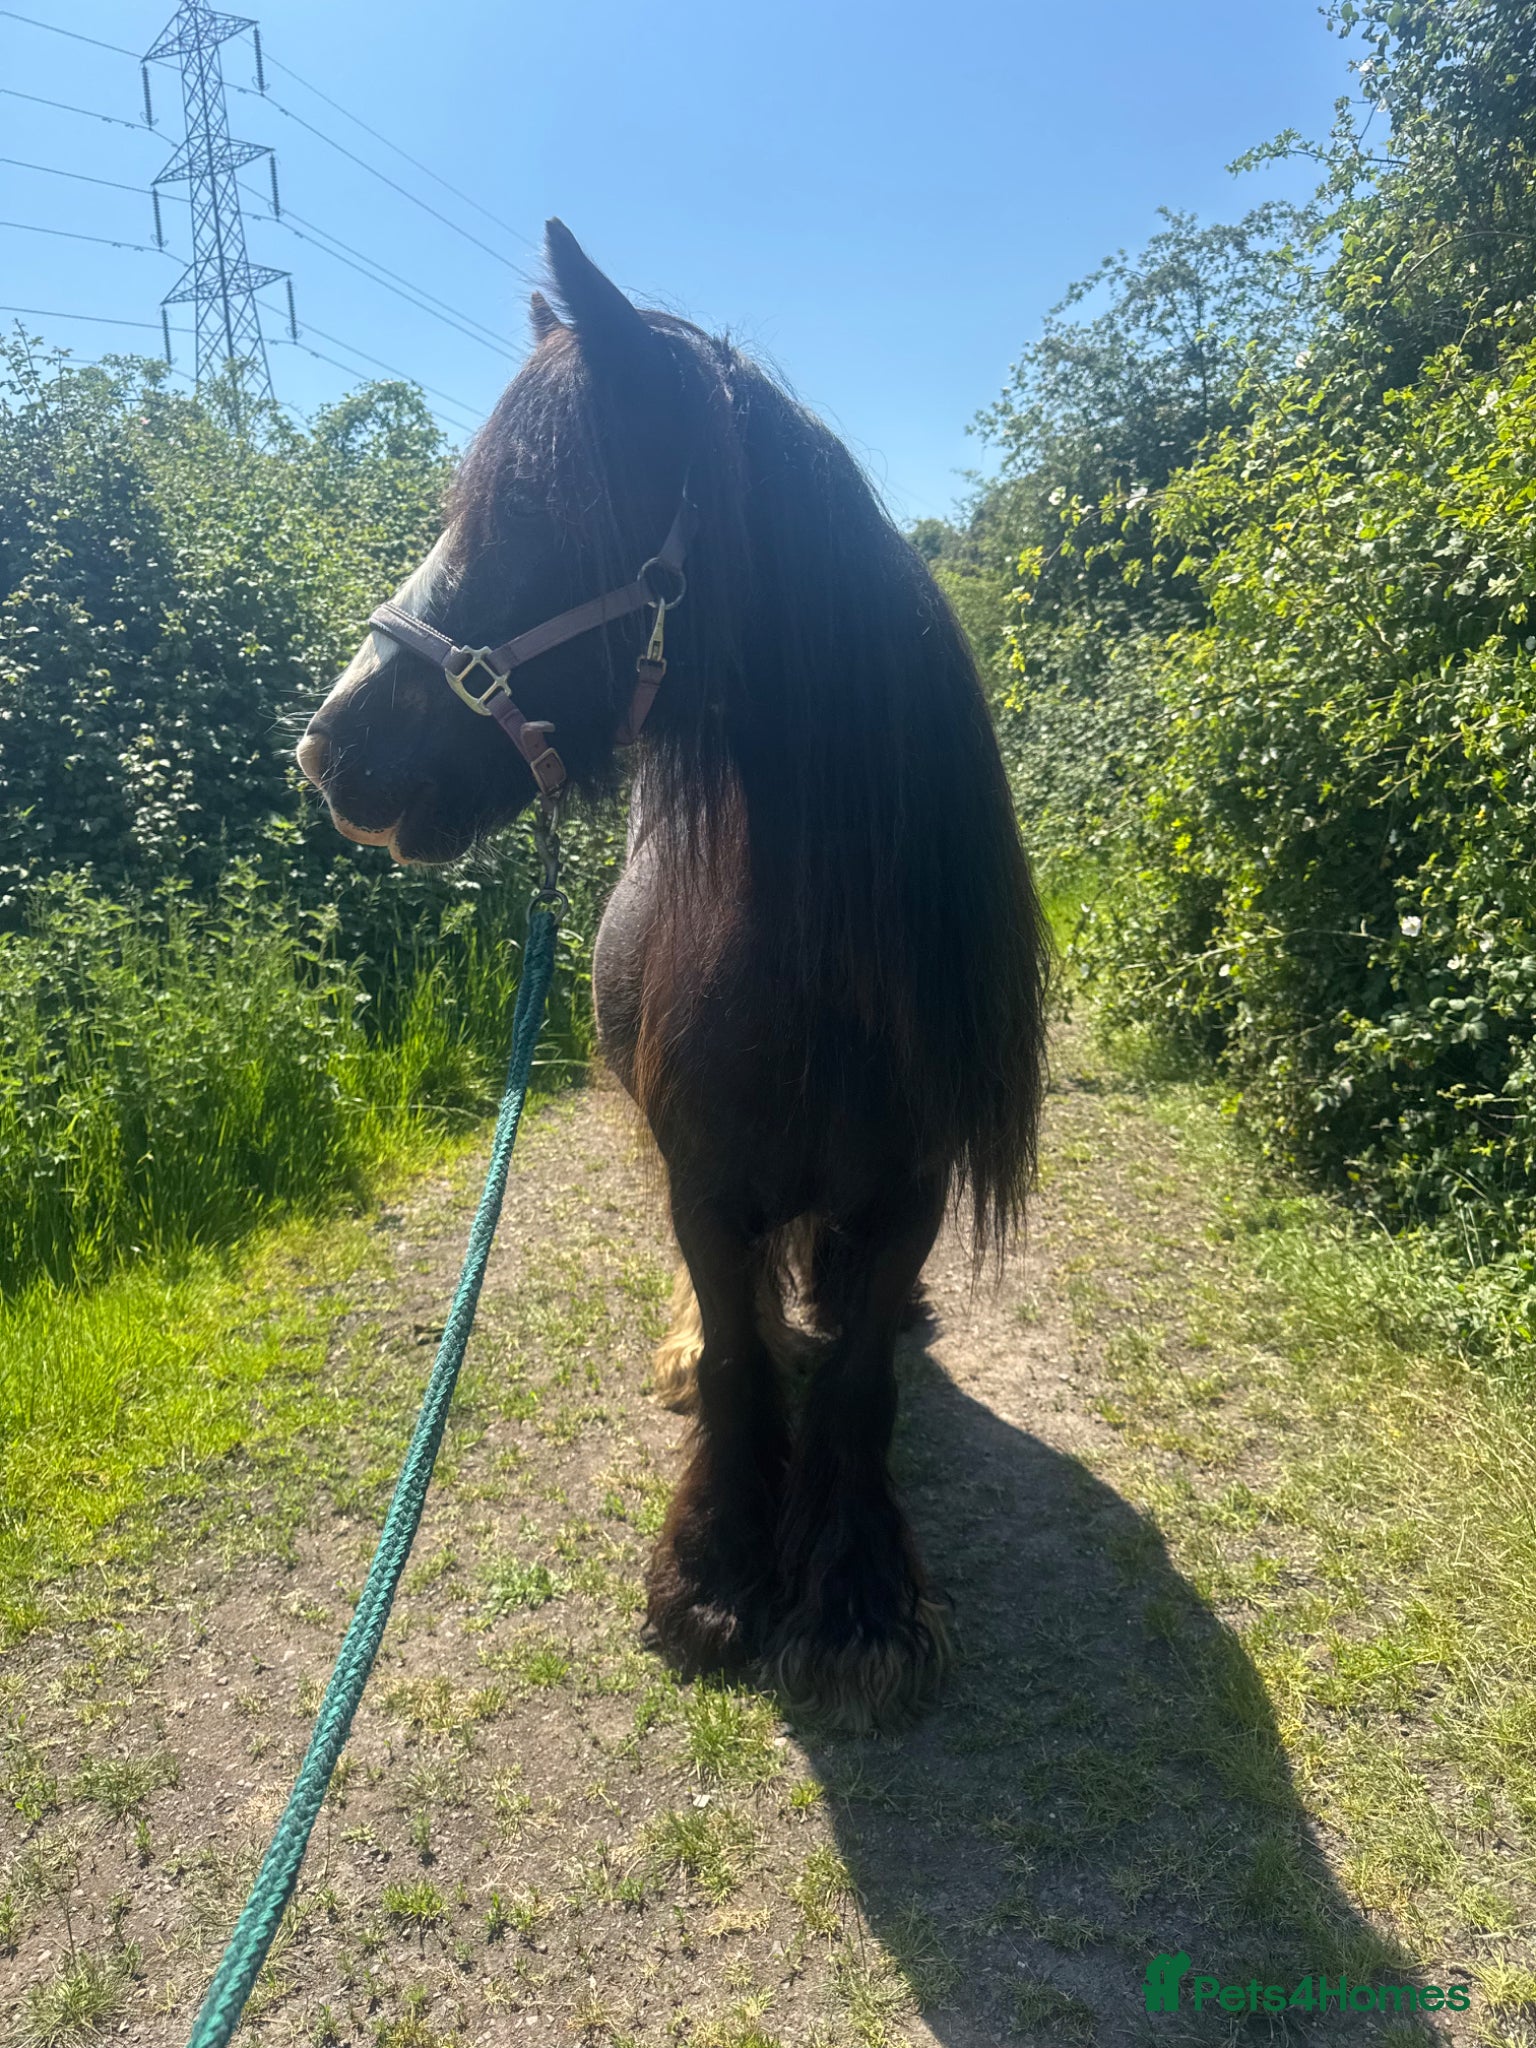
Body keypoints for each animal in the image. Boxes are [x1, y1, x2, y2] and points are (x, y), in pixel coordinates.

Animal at [296, 221, 1047, 1726]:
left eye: (536, 507)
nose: (333, 748)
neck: (812, 978)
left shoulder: (911, 1191)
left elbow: (858, 1376)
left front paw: (859, 1595)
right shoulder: (705, 1184)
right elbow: (749, 1353)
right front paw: (714, 1569)